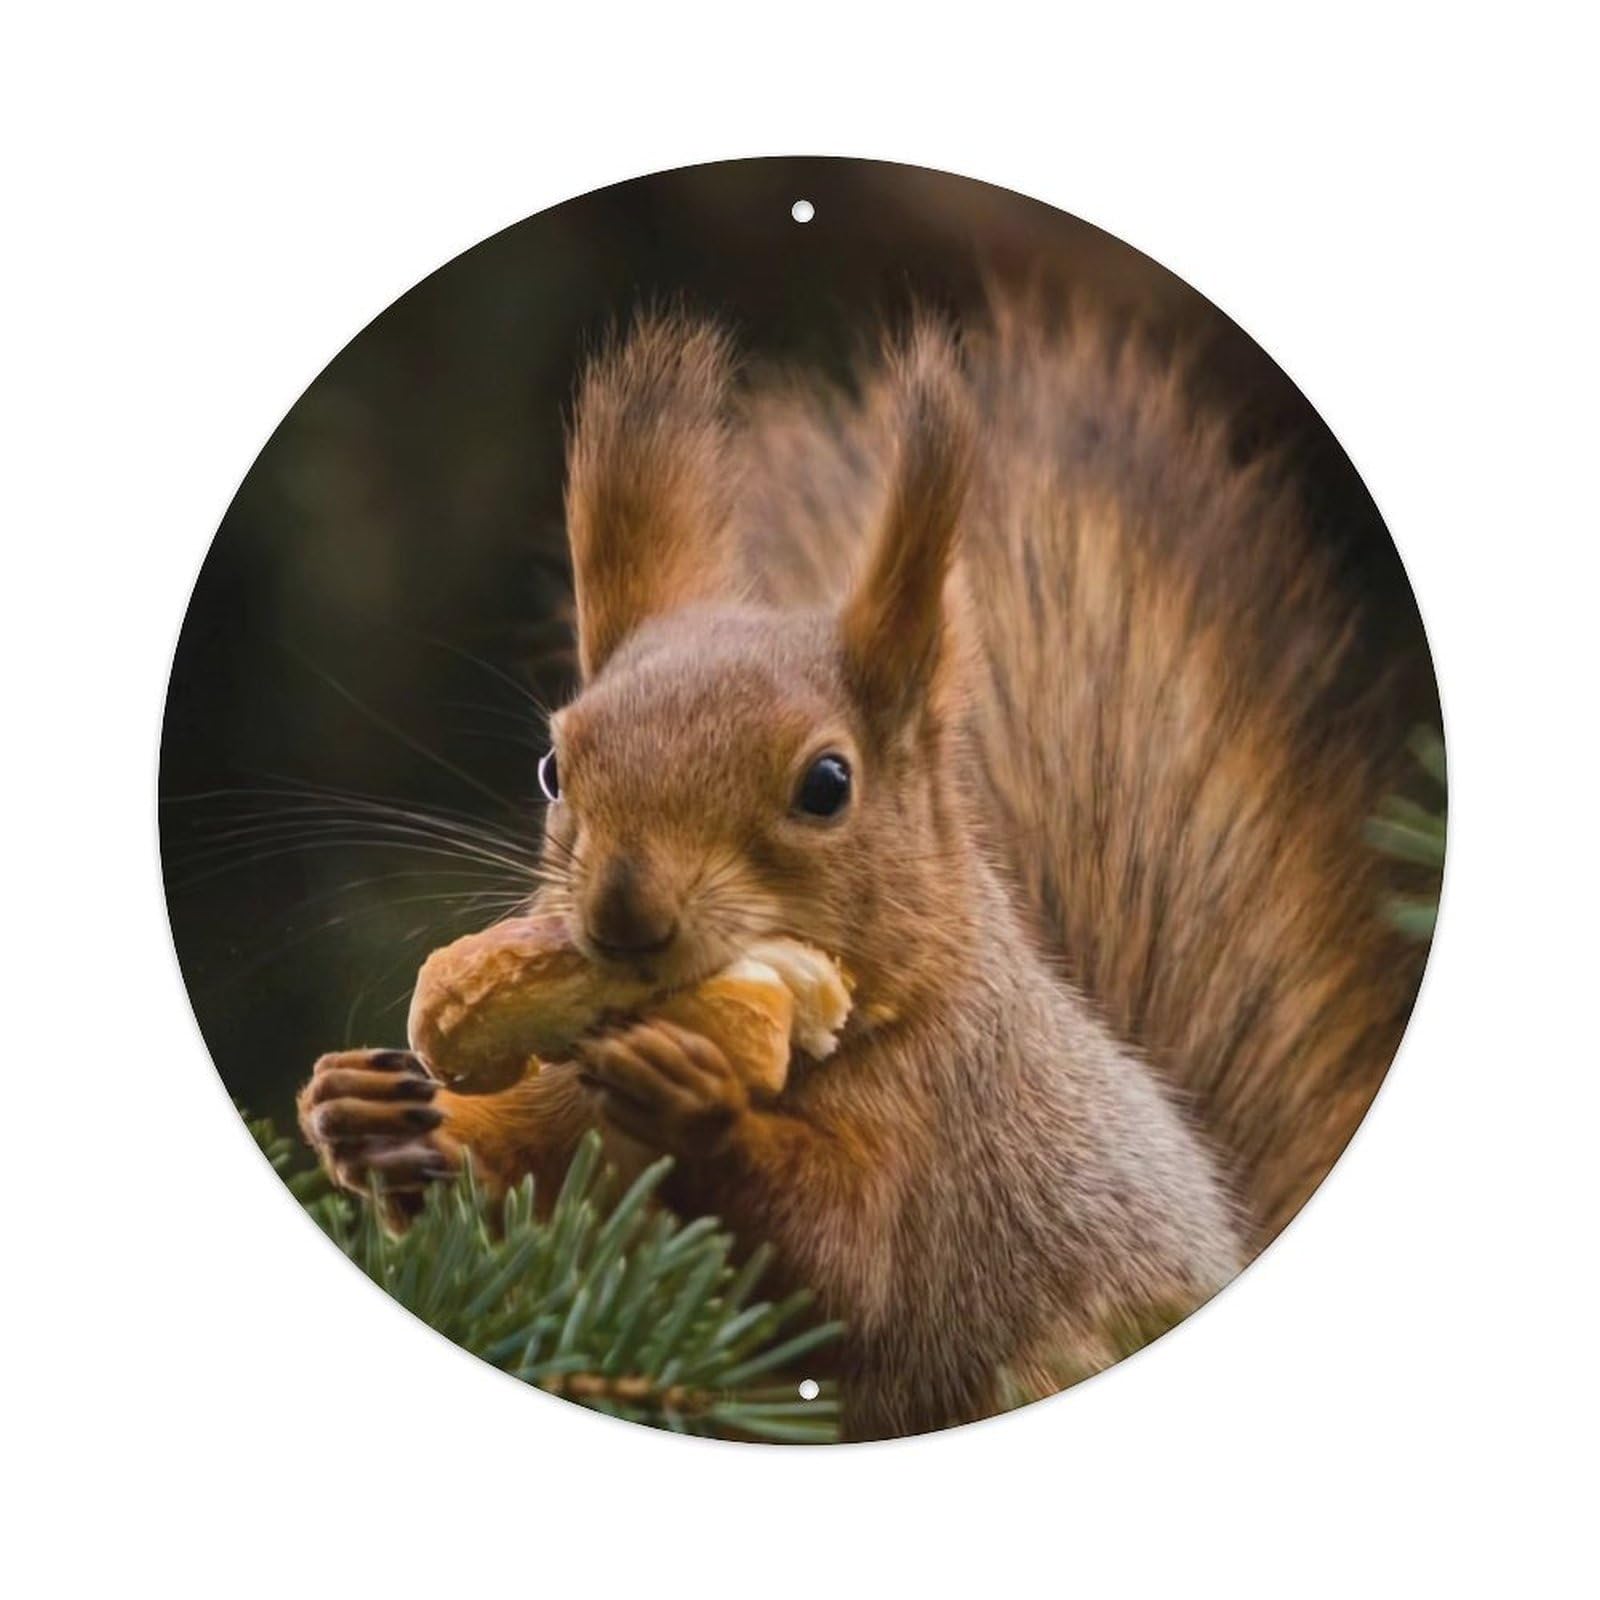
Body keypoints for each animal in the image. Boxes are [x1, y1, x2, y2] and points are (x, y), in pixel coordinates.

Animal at [299, 297, 1433, 1439]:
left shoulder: (938, 1127)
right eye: (550, 767)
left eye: (827, 784)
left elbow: (843, 1268)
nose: (623, 912)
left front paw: (700, 1105)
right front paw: (363, 1110)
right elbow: (514, 1183)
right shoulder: (567, 1105)